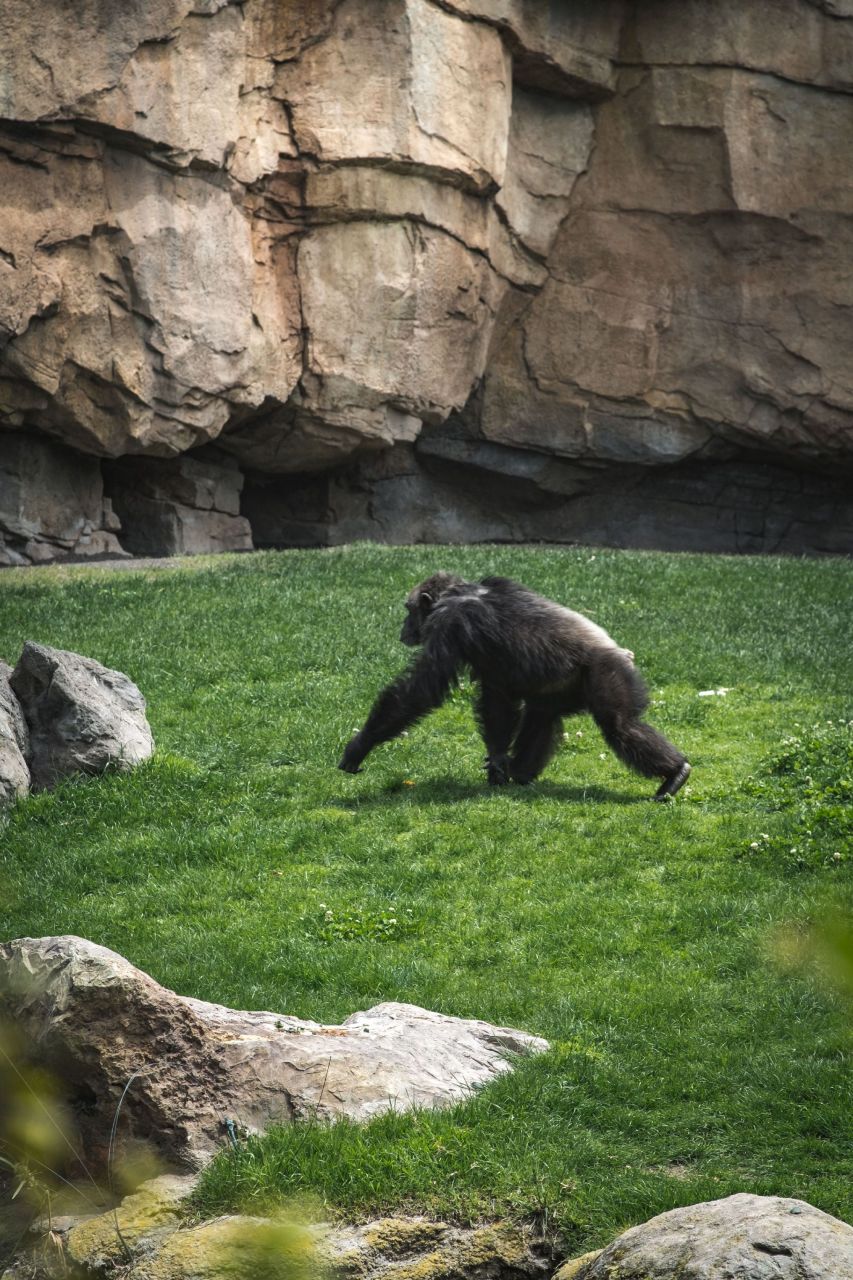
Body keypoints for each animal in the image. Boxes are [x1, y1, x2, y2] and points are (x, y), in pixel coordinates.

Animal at [335, 573, 686, 798]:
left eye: (409, 610)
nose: (404, 628)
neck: (459, 594)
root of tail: (624, 654)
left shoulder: (449, 624)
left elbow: (423, 688)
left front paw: (360, 745)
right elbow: (497, 700)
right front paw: (498, 761)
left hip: (606, 674)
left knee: (621, 725)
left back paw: (675, 773)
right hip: (566, 686)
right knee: (543, 715)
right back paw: (521, 772)